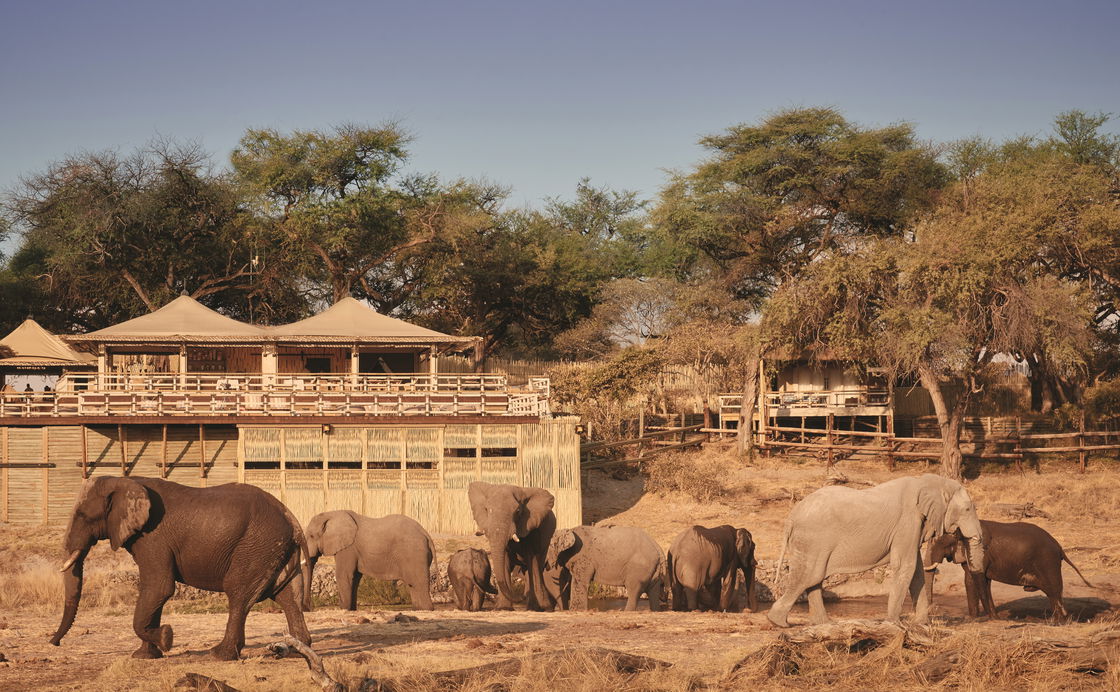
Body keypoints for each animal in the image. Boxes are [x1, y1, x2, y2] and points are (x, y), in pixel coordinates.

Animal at [49, 474, 311, 658]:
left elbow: (159, 587)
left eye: (83, 516)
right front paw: (144, 656)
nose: (54, 642)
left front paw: (166, 638)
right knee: (288, 596)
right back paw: (297, 650)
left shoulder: (152, 538)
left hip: (256, 546)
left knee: (238, 594)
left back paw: (218, 655)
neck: (125, 481)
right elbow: (153, 592)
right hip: (275, 550)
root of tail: (292, 519)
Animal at [306, 506, 436, 609]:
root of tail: (426, 533)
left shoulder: (348, 549)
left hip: (414, 553)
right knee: (413, 586)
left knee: (418, 584)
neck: (333, 513)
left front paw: (344, 609)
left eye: (311, 536)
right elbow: (355, 578)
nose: (308, 608)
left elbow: (344, 576)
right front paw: (351, 609)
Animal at [465, 479, 553, 609]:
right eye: (486, 509)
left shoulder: (531, 527)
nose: (521, 597)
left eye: (518, 511)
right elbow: (505, 559)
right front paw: (503, 608)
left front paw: (543, 608)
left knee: (536, 565)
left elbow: (532, 559)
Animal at [766, 474, 985, 627]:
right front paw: (893, 624)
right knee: (809, 576)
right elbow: (905, 566)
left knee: (814, 579)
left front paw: (921, 624)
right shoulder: (908, 521)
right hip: (812, 540)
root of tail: (791, 517)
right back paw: (778, 622)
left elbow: (916, 570)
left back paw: (823, 624)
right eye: (967, 510)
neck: (929, 482)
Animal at [927, 515, 1093, 618]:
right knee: (1053, 594)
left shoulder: (980, 552)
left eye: (942, 543)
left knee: (1054, 592)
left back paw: (1061, 621)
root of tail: (1059, 547)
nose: (932, 611)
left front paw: (991, 618)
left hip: (1048, 562)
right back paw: (1055, 621)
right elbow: (975, 582)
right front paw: (978, 618)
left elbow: (978, 581)